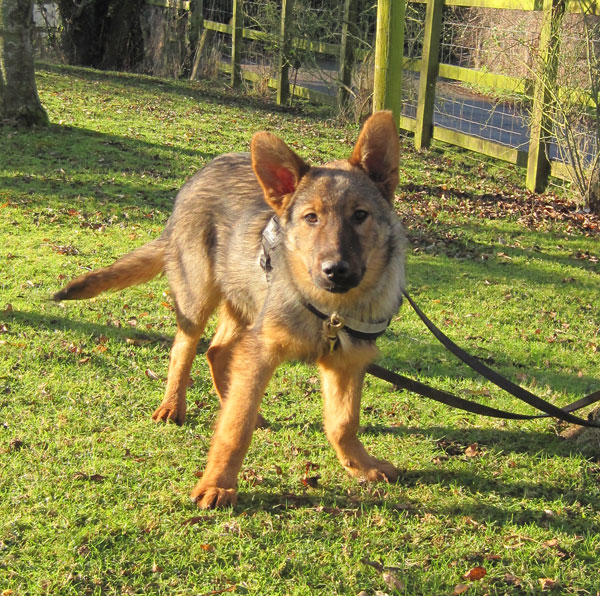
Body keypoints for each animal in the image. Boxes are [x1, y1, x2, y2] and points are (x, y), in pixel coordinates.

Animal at [54, 110, 406, 508]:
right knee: (184, 350)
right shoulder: (263, 350)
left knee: (218, 351)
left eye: (360, 215)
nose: (335, 271)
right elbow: (235, 428)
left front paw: (360, 465)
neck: (331, 311)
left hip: (244, 301)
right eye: (311, 218)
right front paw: (218, 483)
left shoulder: (346, 362)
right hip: (198, 298)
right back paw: (173, 406)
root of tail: (203, 172)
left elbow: (343, 423)